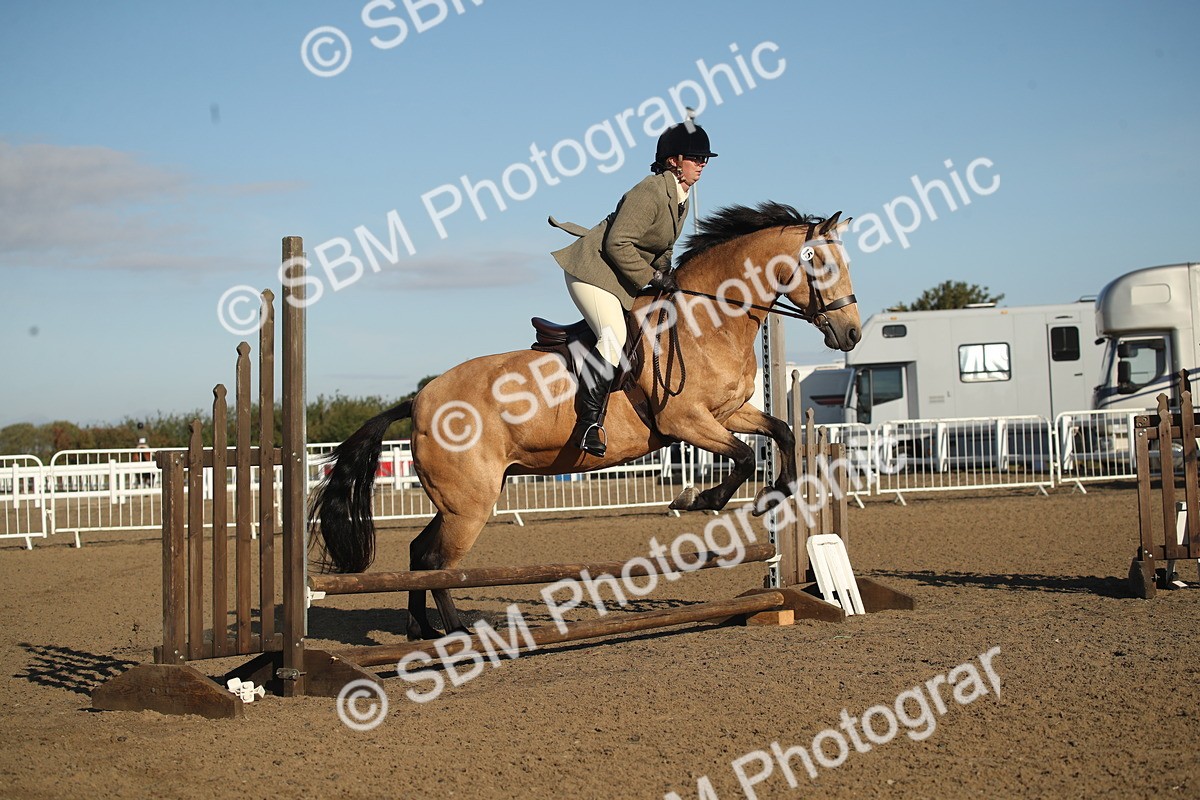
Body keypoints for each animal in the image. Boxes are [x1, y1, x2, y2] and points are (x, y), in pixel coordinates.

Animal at [309, 202, 861, 640]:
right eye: (822, 264)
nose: (851, 333)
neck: (710, 319)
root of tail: (419, 400)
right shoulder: (684, 420)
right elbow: (744, 456)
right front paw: (698, 499)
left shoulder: (729, 412)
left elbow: (781, 432)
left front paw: (777, 492)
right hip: (469, 505)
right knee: (437, 563)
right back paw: (460, 633)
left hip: (459, 500)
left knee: (421, 555)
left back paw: (423, 630)